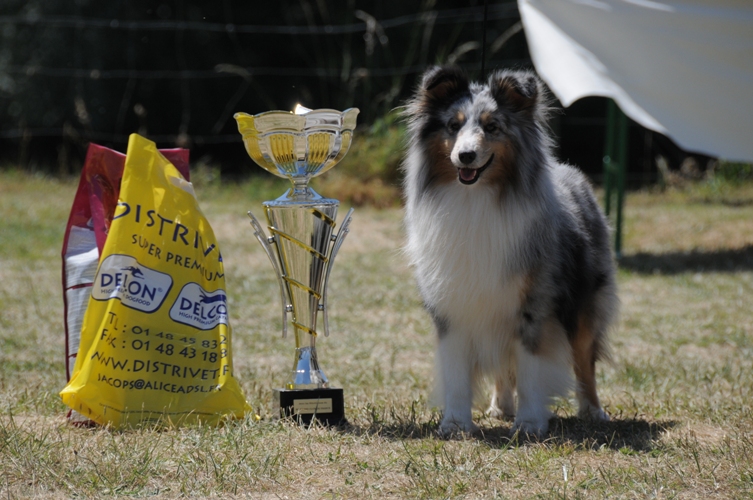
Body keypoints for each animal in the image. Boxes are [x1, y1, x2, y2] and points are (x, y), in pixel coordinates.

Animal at [400, 67, 616, 438]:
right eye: (453, 126)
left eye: (492, 127)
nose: (466, 156)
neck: (475, 200)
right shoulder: (454, 303)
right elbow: (457, 372)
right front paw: (455, 423)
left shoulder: (533, 306)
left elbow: (530, 368)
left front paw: (529, 424)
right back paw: (500, 406)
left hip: (584, 306)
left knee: (584, 360)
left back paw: (592, 411)